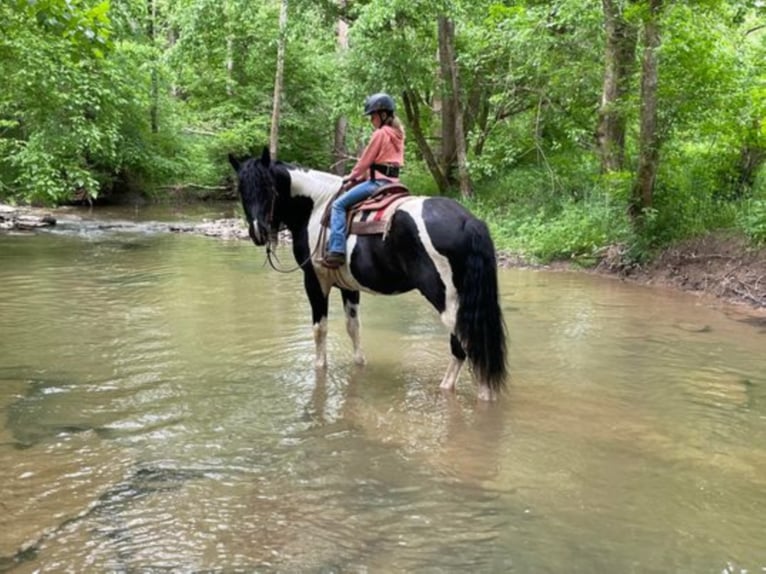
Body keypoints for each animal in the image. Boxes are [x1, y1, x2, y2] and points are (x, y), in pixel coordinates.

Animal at [226, 146, 510, 402]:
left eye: (268, 187)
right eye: (241, 190)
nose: (258, 232)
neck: (316, 205)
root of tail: (467, 221)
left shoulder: (315, 280)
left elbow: (320, 329)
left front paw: (320, 369)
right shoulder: (348, 285)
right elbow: (353, 327)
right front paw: (359, 364)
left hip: (444, 297)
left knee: (465, 342)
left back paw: (468, 391)